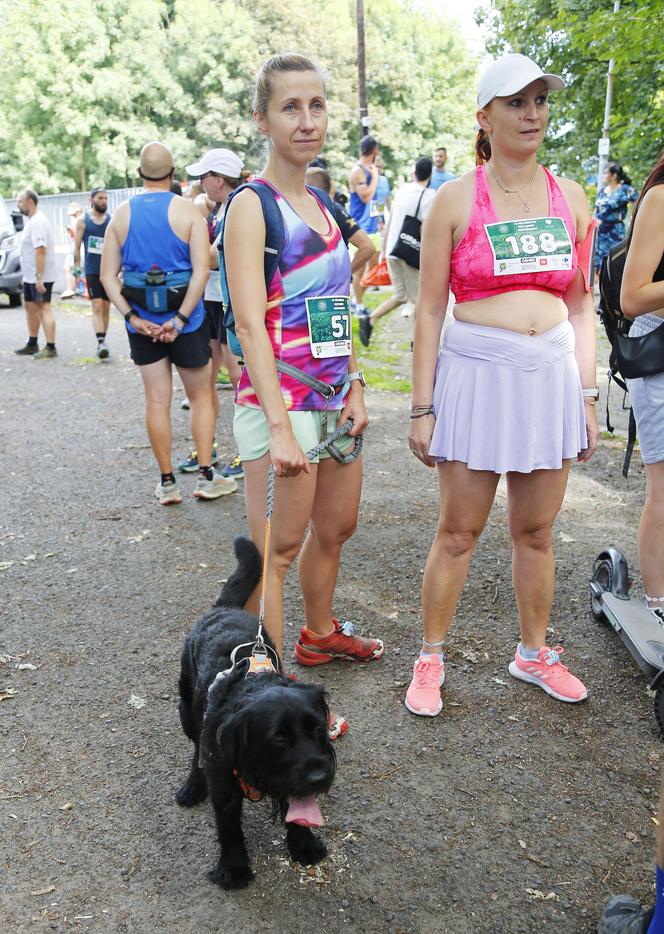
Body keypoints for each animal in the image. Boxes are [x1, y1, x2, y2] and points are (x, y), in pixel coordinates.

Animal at [175, 536, 334, 888]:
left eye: (318, 729)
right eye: (279, 739)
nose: (321, 777)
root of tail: (224, 608)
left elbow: (299, 809)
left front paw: (303, 845)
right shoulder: (223, 783)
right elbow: (229, 829)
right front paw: (233, 869)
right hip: (187, 711)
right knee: (195, 749)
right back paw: (193, 785)